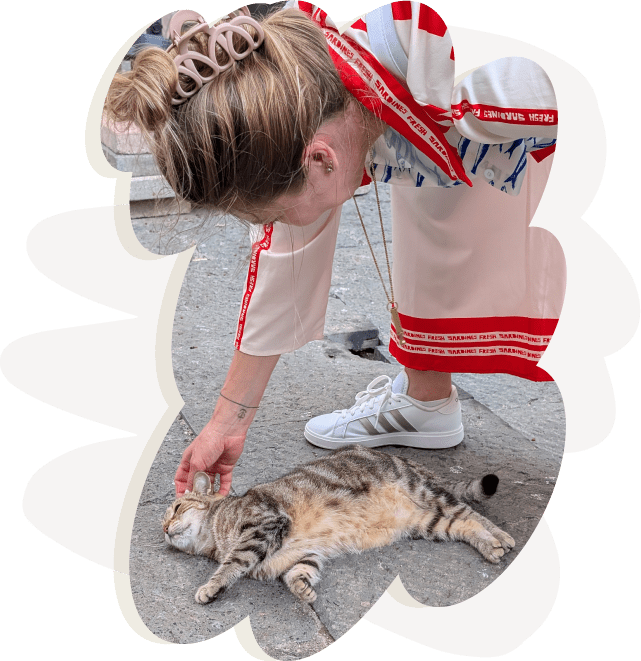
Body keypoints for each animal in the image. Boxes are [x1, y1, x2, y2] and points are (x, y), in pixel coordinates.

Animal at [162, 445, 515, 604]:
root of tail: (411, 461)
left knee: (473, 513)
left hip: (426, 493)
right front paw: (302, 589)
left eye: (176, 508)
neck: (216, 538)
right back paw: (491, 545)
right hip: (427, 523)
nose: (164, 530)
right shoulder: (305, 553)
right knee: (464, 524)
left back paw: (502, 537)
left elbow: (233, 563)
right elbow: (299, 572)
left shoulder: (264, 525)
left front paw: (212, 586)